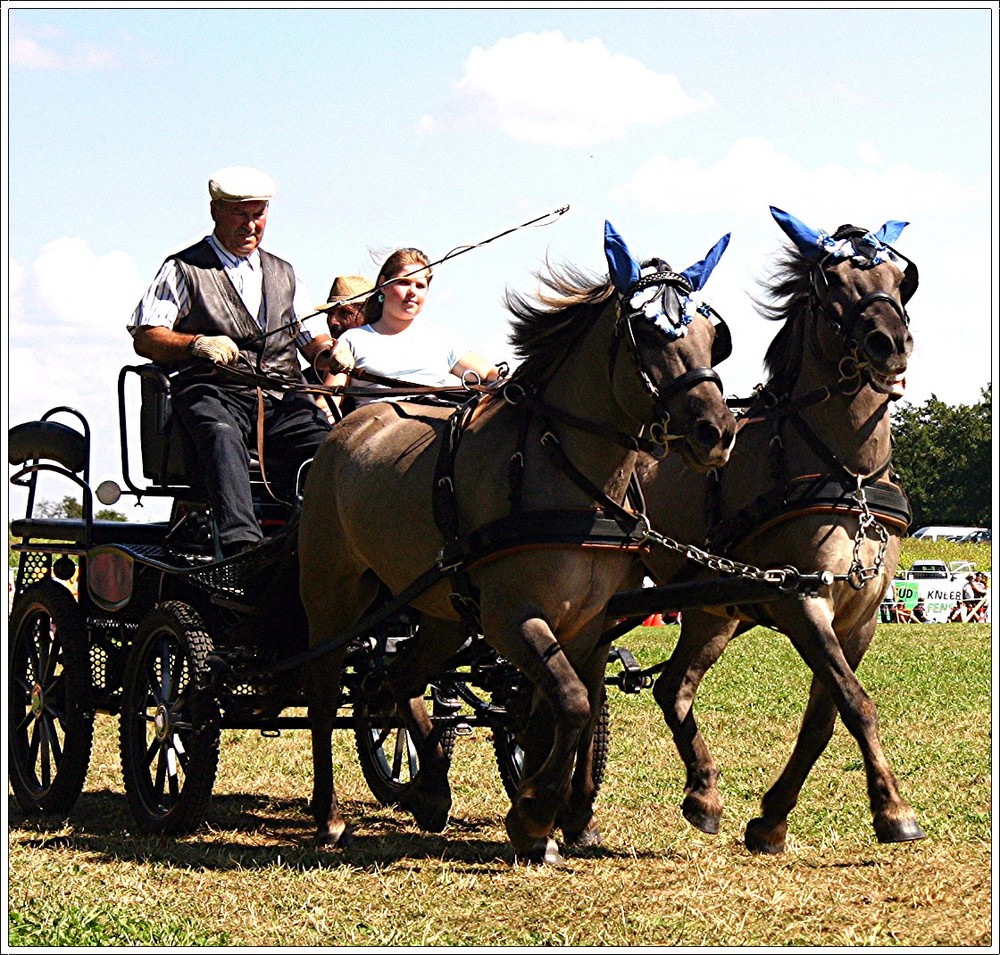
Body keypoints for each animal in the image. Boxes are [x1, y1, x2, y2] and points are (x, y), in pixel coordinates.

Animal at [296, 224, 736, 868]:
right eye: (650, 333)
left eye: (712, 338)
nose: (717, 433)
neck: (570, 478)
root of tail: (348, 427)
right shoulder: (510, 617)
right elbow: (572, 703)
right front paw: (533, 814)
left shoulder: (589, 623)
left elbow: (564, 712)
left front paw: (558, 820)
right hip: (333, 592)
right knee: (328, 695)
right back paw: (328, 815)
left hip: (441, 609)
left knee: (399, 678)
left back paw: (431, 789)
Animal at [636, 205, 924, 856]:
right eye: (831, 283)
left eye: (902, 278)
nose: (890, 343)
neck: (849, 475)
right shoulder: (802, 600)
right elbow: (855, 703)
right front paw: (893, 810)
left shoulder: (860, 617)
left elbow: (824, 716)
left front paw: (771, 820)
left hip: (713, 611)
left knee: (673, 687)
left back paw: (703, 797)